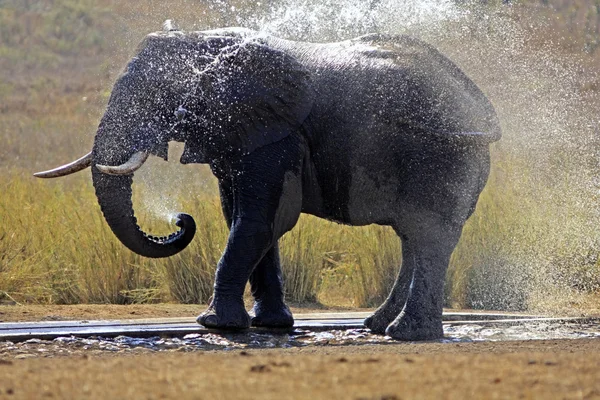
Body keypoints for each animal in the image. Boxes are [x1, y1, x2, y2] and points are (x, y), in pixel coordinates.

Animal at [35, 25, 500, 340]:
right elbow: (244, 218)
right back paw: (377, 326)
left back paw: (405, 334)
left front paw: (214, 324)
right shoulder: (239, 136)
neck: (211, 44)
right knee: (413, 239)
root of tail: (480, 104)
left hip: (441, 155)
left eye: (158, 94)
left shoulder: (277, 136)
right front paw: (270, 325)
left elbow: (263, 220)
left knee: (428, 233)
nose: (180, 221)